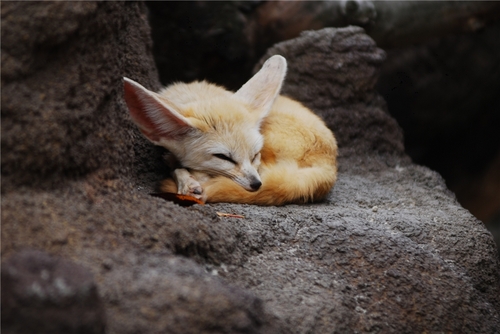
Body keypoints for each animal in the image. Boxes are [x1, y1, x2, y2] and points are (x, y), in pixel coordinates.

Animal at [123, 55, 338, 206]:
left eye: (255, 155)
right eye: (223, 157)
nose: (256, 185)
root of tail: (329, 167)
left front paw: (190, 180)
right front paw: (187, 180)